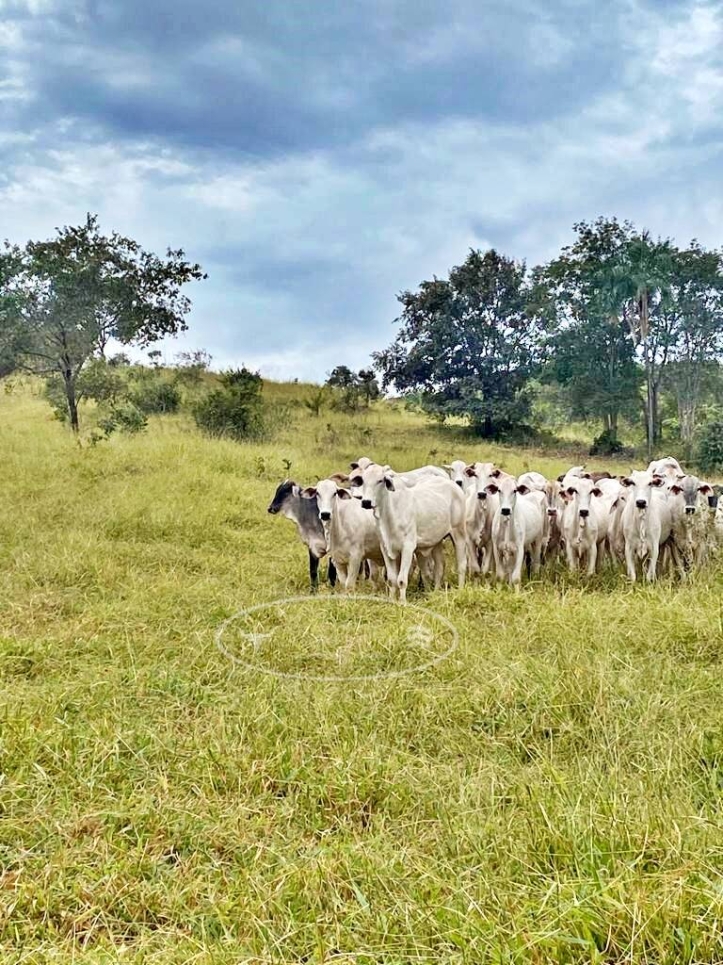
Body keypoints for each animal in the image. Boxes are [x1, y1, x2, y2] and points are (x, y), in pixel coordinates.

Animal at [360, 464, 466, 600]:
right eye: (363, 480)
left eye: (380, 480)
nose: (366, 502)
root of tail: (453, 485)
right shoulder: (385, 548)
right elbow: (391, 580)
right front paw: (391, 600)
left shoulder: (408, 547)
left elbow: (401, 580)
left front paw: (402, 602)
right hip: (436, 541)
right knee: (439, 567)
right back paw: (435, 593)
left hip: (459, 533)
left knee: (461, 565)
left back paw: (461, 590)